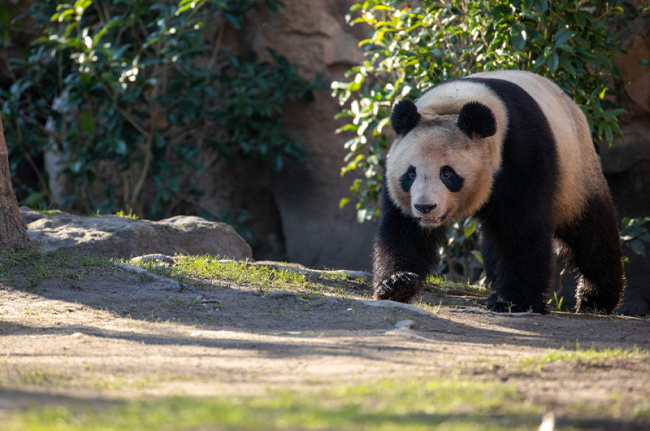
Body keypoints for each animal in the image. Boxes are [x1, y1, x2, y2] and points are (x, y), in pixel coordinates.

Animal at [374, 70, 624, 314]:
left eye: (447, 173)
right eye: (410, 173)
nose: (425, 207)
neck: (452, 104)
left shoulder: (521, 155)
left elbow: (521, 228)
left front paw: (513, 301)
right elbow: (404, 229)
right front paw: (397, 283)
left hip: (576, 172)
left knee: (590, 233)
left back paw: (596, 299)